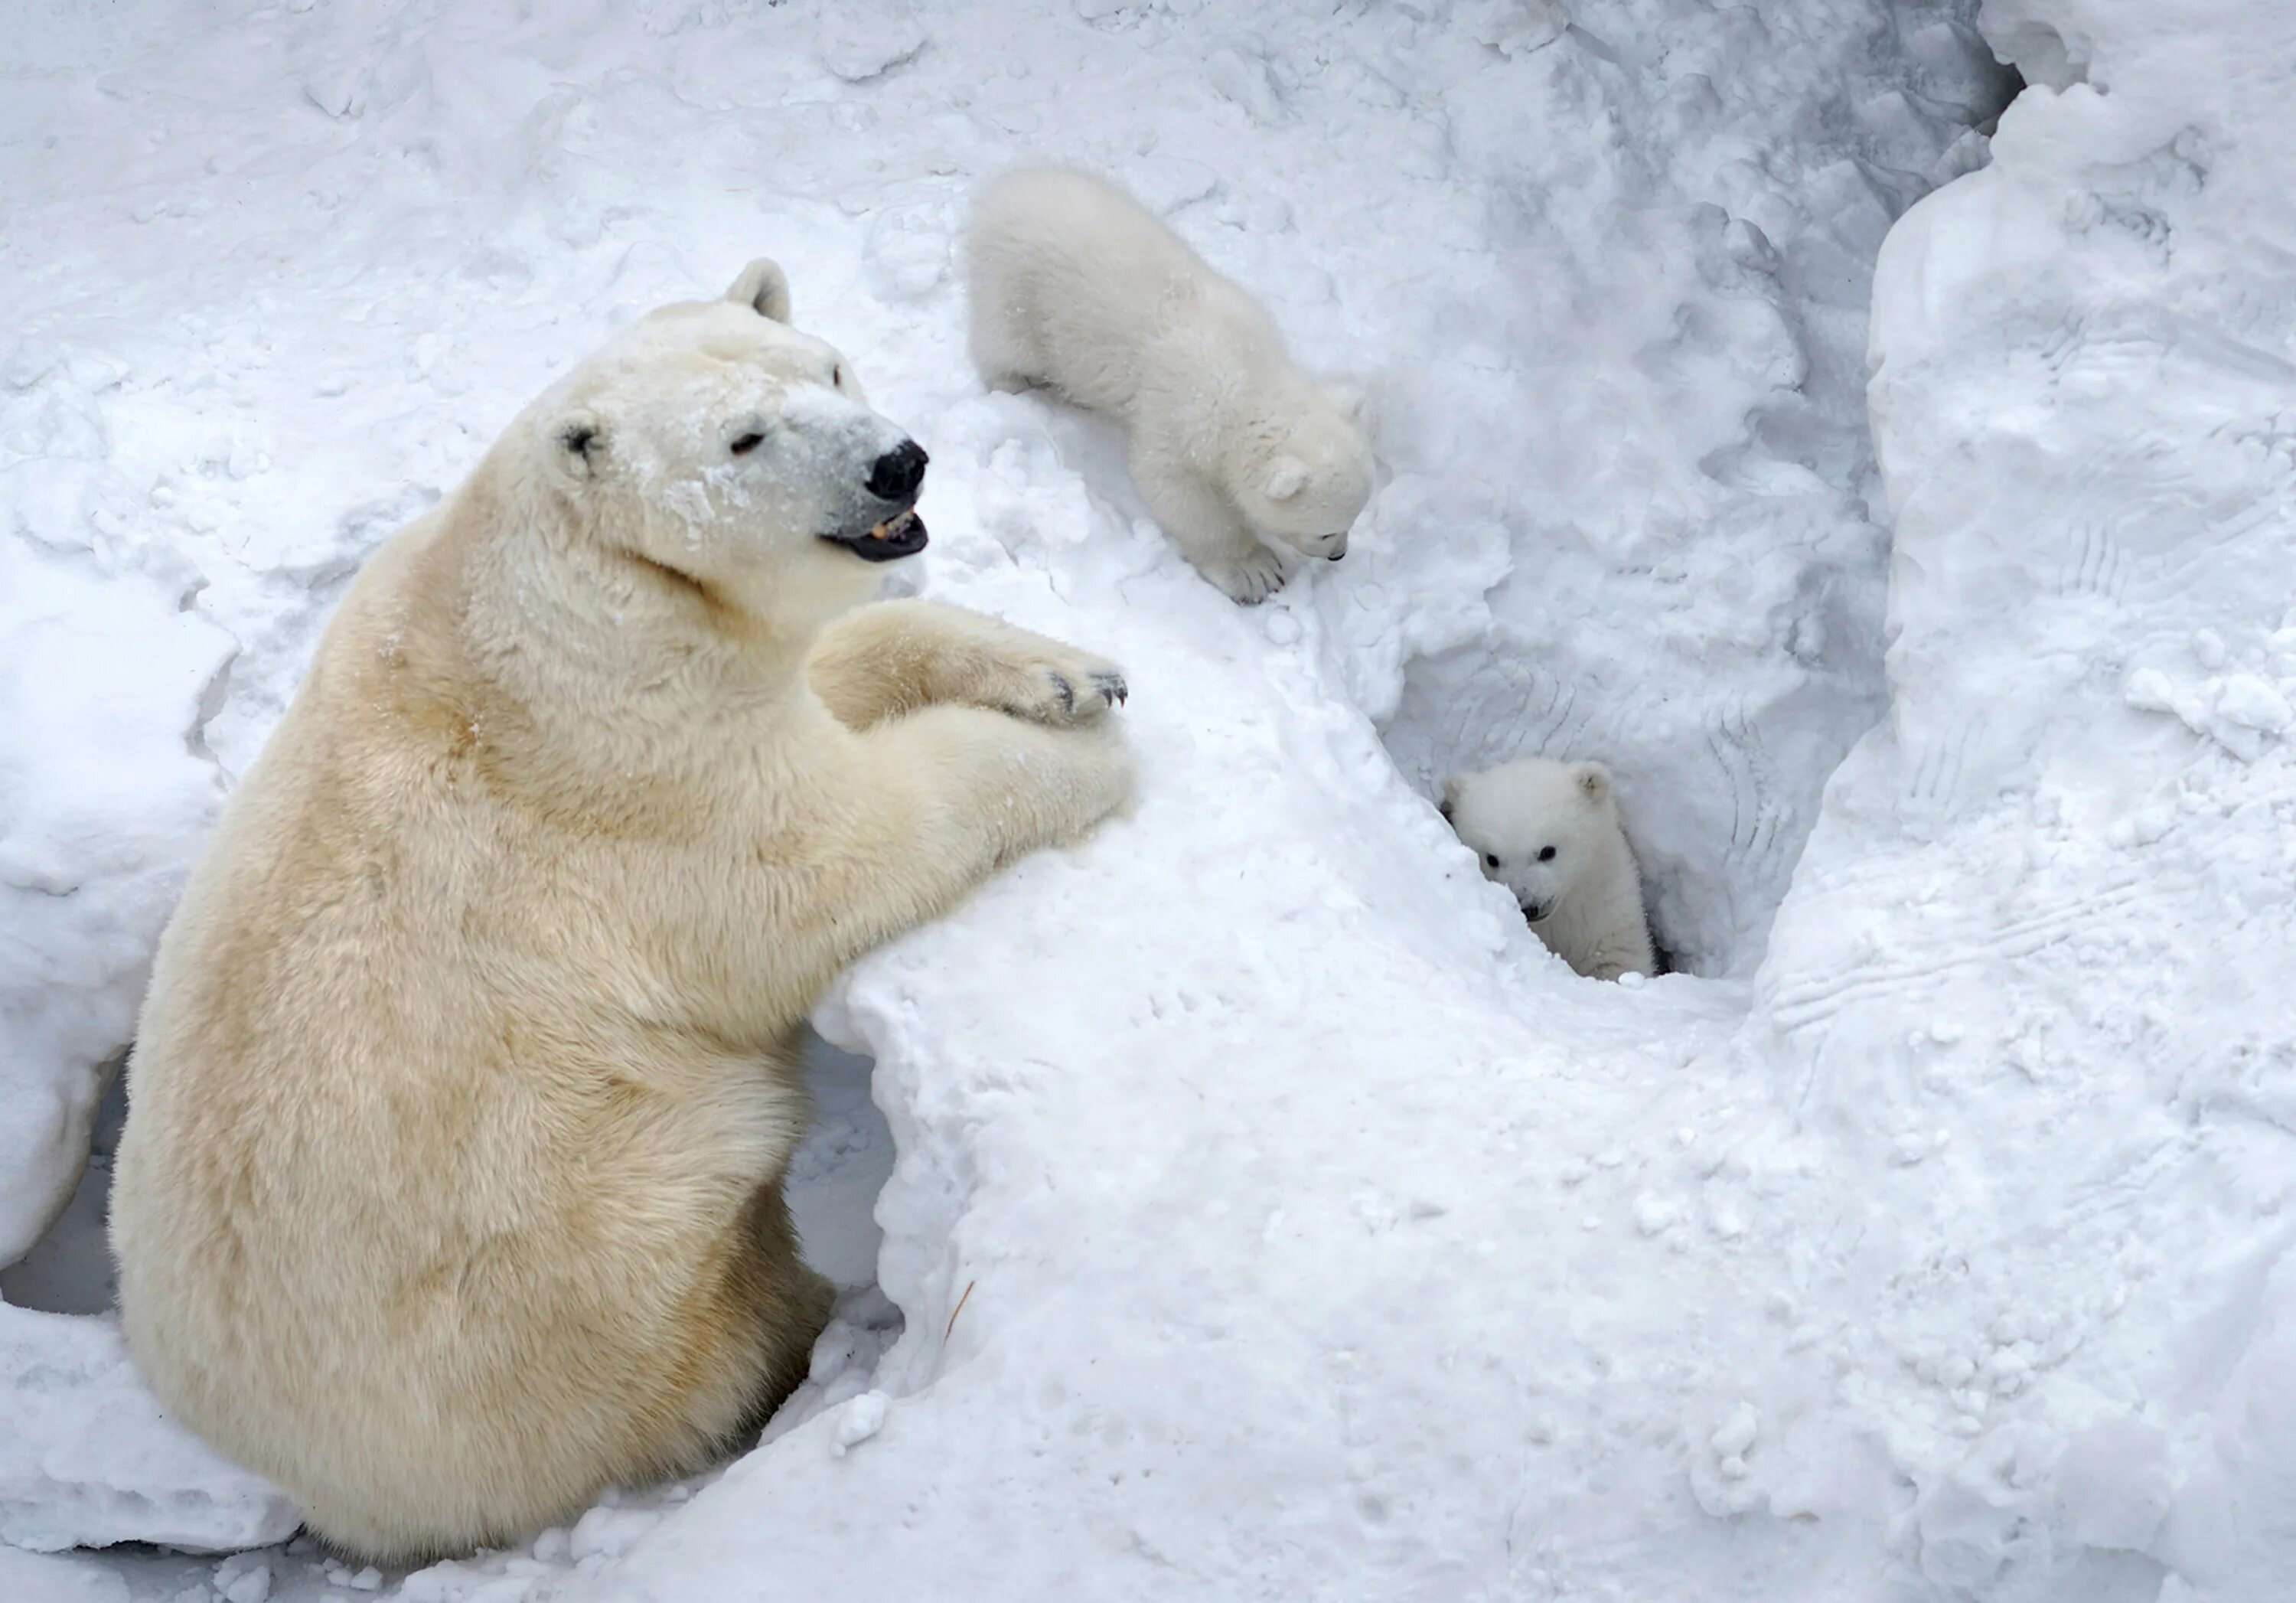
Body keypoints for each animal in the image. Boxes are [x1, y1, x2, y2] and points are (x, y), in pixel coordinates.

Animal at [112, 260, 1134, 1562]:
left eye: (828, 369)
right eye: (745, 439)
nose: (896, 464)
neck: (562, 591)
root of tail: (309, 1481)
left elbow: (845, 659)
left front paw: (1067, 669)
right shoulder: (633, 755)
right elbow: (838, 851)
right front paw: (1088, 756)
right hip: (589, 1261)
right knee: (709, 1310)